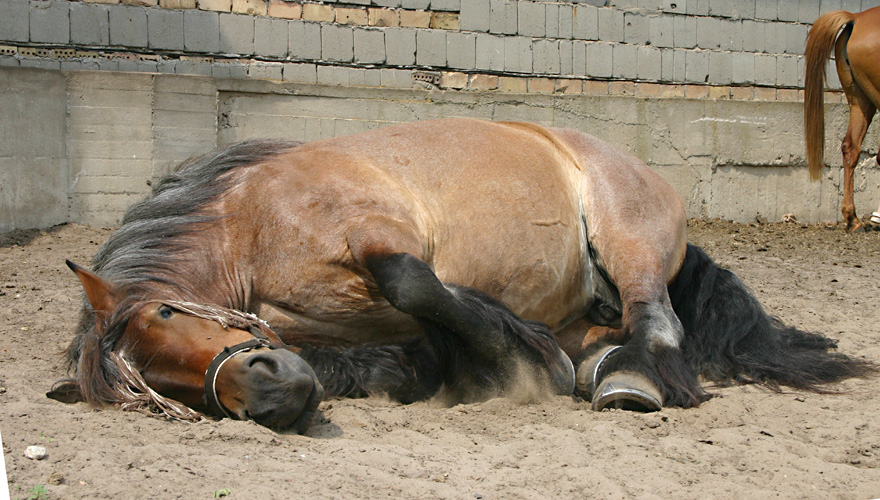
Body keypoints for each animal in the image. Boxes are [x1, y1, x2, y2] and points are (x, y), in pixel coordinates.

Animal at [48, 119, 872, 432]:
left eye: (166, 315)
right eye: (162, 394)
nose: (270, 393)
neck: (252, 226)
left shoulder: (384, 239)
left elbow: (419, 287)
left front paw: (518, 356)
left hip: (627, 239)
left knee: (658, 323)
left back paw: (632, 378)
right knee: (614, 332)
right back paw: (602, 364)